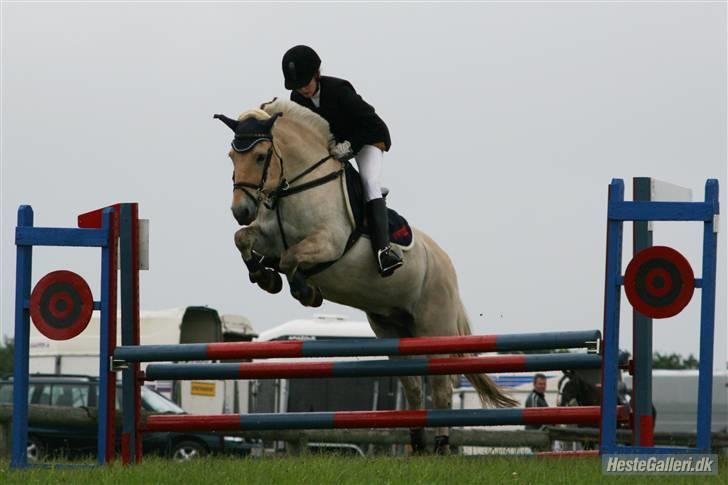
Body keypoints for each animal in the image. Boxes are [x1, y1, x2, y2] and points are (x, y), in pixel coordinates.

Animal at [216, 99, 516, 454]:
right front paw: (265, 276)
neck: (297, 187)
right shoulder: (268, 237)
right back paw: (417, 445)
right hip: (392, 329)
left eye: (261, 156)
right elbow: (243, 240)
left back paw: (441, 446)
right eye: (232, 156)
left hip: (434, 327)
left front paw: (306, 290)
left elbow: (291, 259)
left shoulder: (328, 242)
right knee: (414, 385)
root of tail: (446, 264)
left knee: (441, 387)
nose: (241, 211)